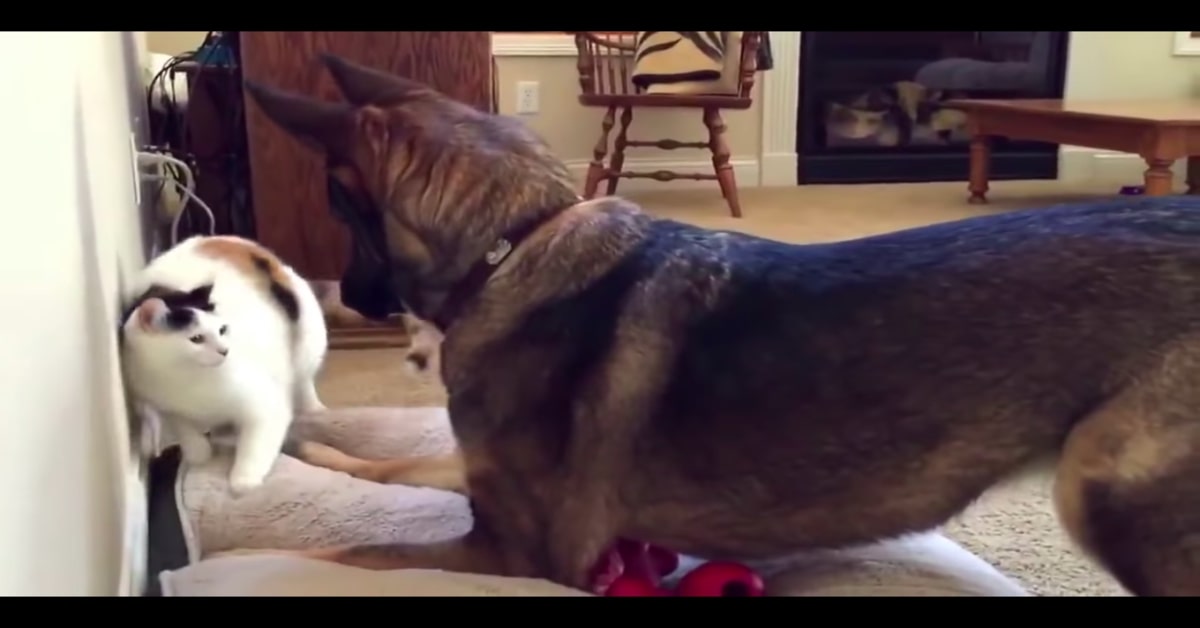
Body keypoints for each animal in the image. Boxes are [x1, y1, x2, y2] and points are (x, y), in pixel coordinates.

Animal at [121, 234, 328, 492]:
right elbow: (187, 433)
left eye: (222, 330)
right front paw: (199, 454)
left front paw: (243, 481)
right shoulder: (168, 407)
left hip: (308, 343)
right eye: (196, 338)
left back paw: (314, 409)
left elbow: (254, 447)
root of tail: (225, 238)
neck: (185, 380)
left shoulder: (264, 404)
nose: (224, 351)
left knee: (304, 380)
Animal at [238, 52, 1200, 595]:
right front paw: (315, 452)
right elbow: (396, 465)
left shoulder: (517, 553)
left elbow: (352, 556)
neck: (514, 243)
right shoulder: (481, 488)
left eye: (339, 206)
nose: (346, 299)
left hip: (1103, 484)